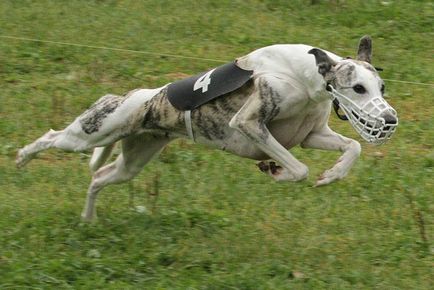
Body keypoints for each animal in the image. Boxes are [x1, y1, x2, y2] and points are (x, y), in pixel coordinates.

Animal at [16, 36, 396, 222]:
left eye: (381, 87)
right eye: (357, 88)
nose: (390, 120)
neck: (307, 79)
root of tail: (136, 97)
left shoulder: (310, 136)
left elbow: (352, 147)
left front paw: (332, 175)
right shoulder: (249, 123)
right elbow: (298, 168)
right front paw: (275, 170)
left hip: (134, 159)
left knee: (99, 177)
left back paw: (88, 218)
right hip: (92, 132)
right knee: (52, 137)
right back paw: (22, 157)